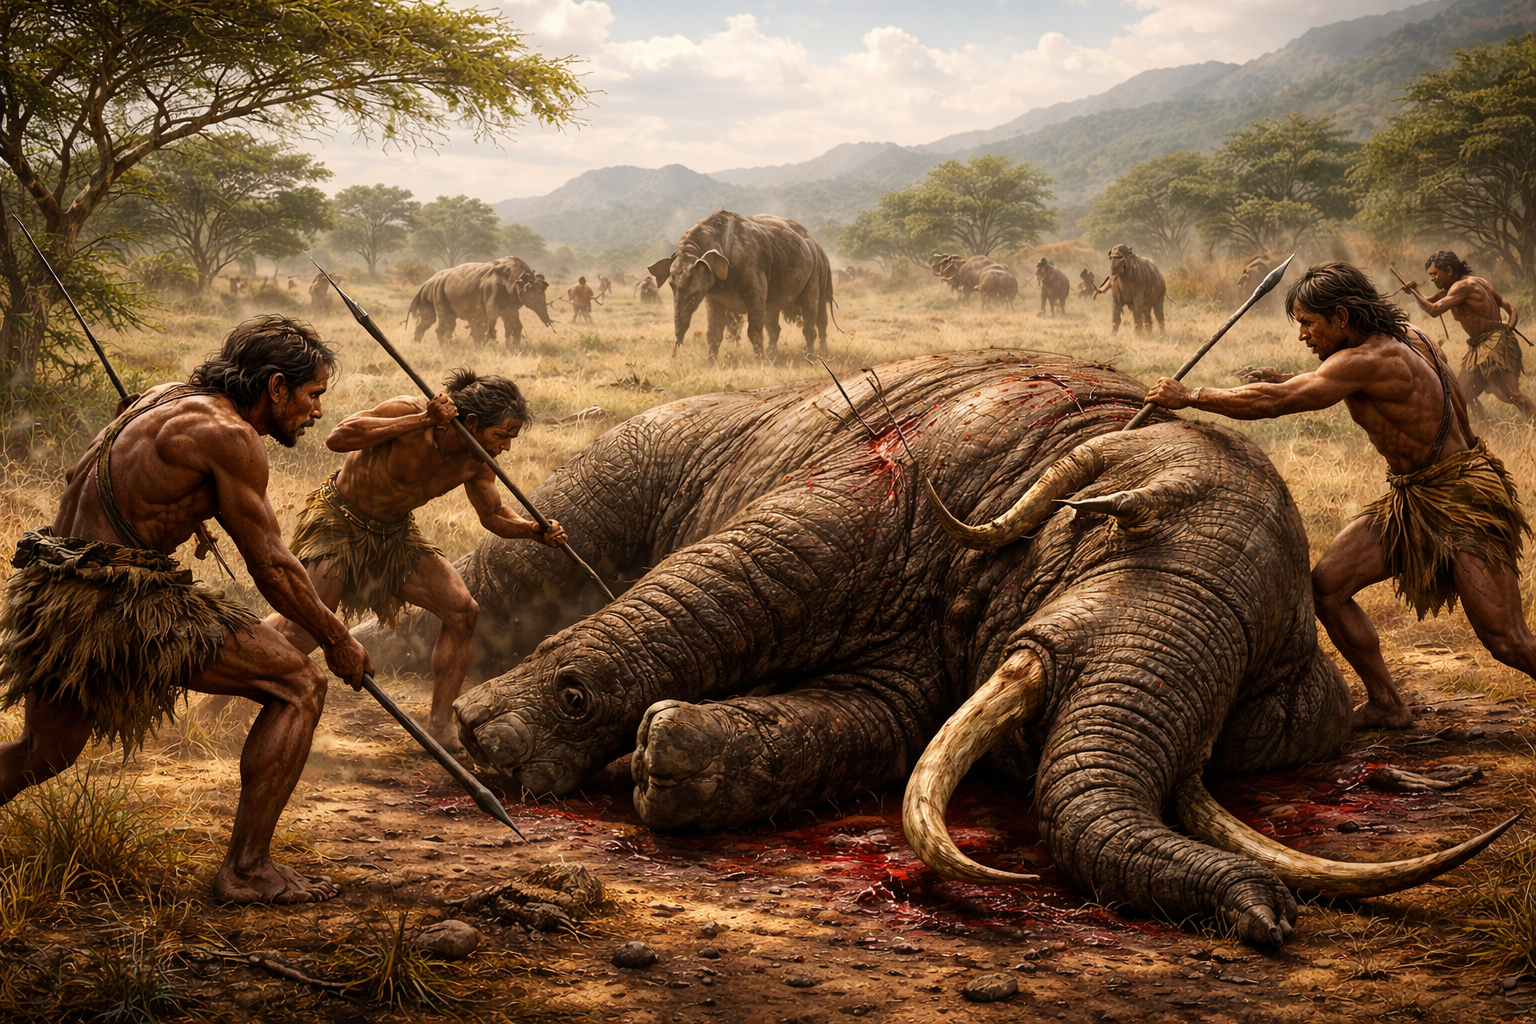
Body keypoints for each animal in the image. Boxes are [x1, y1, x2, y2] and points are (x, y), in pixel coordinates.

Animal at [359, 349, 1513, 948]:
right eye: (1113, 525)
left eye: (1252, 687)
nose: (1270, 922)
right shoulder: (914, 481)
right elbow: (722, 586)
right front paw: (498, 747)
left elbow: (871, 720)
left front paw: (665, 761)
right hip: (627, 456)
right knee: (520, 566)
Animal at [407, 256, 552, 346]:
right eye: (534, 294)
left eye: (544, 290)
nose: (548, 321)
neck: (512, 279)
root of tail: (428, 282)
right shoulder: (492, 302)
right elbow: (490, 327)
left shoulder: (510, 308)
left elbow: (515, 326)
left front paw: (514, 347)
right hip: (440, 299)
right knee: (442, 327)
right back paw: (444, 348)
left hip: (430, 305)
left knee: (425, 323)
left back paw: (415, 344)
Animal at [648, 211, 832, 361]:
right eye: (671, 285)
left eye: (695, 293)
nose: (674, 354)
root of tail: (816, 244)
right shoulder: (713, 292)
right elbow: (714, 331)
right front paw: (711, 363)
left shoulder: (752, 266)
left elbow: (755, 323)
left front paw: (759, 363)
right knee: (774, 325)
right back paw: (774, 355)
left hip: (816, 273)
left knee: (815, 314)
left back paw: (815, 356)